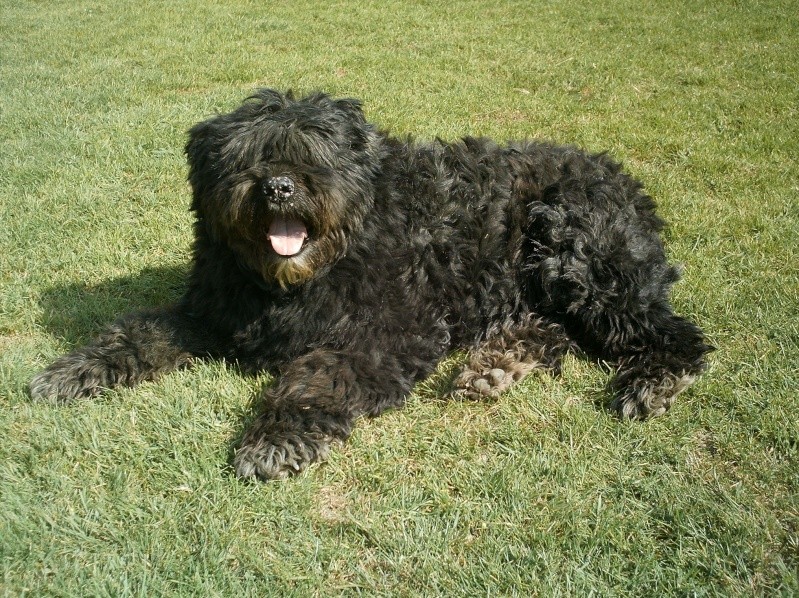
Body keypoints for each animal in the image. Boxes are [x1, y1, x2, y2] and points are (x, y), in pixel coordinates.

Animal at [29, 90, 712, 482]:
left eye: (314, 153)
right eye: (247, 156)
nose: (278, 186)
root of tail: (628, 185)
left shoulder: (385, 332)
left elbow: (313, 377)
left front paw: (273, 440)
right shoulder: (212, 311)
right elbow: (139, 331)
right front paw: (72, 370)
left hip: (581, 263)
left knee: (673, 332)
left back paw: (650, 382)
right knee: (558, 330)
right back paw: (495, 366)